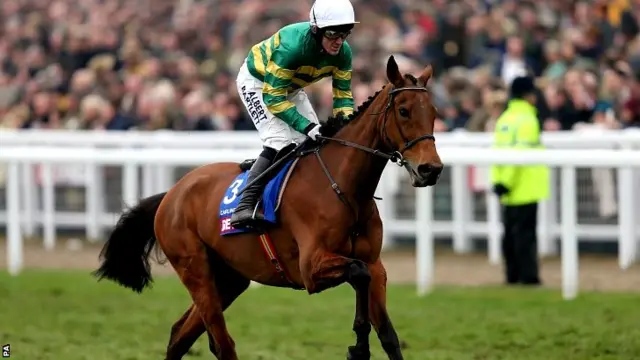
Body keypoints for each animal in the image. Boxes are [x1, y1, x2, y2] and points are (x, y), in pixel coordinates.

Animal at [95, 54, 442, 360]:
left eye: (434, 112)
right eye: (404, 110)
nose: (431, 169)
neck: (346, 190)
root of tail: (172, 193)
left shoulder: (375, 264)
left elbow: (387, 329)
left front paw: (362, 343)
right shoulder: (310, 268)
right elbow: (357, 273)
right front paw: (358, 346)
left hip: (229, 278)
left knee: (180, 334)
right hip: (195, 269)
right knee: (222, 343)